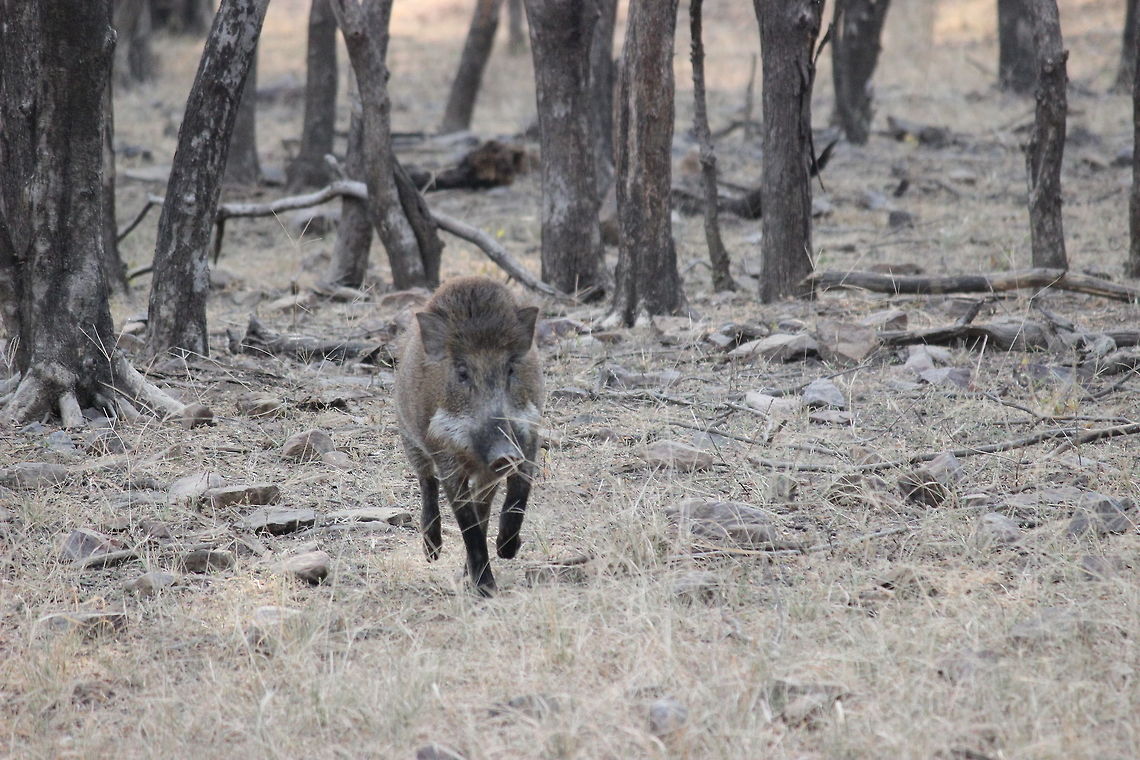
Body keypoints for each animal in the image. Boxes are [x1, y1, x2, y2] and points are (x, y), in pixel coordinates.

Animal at [394, 276, 544, 596]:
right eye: (462, 373)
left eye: (510, 368)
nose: (504, 455)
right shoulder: (446, 457)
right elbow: (467, 524)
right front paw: (486, 589)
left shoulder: (529, 438)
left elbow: (518, 494)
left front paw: (507, 551)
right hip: (409, 438)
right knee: (427, 482)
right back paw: (432, 553)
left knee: (483, 505)